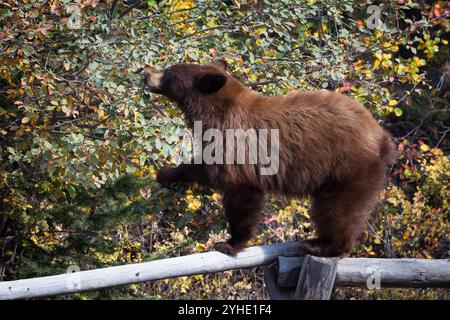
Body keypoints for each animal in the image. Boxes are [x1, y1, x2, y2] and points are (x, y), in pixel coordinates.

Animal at [145, 58, 398, 256]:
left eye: (168, 72)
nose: (146, 73)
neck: (216, 109)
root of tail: (383, 138)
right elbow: (205, 166)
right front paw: (166, 174)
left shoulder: (237, 143)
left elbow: (239, 189)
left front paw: (230, 243)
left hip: (348, 168)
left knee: (337, 210)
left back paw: (322, 246)